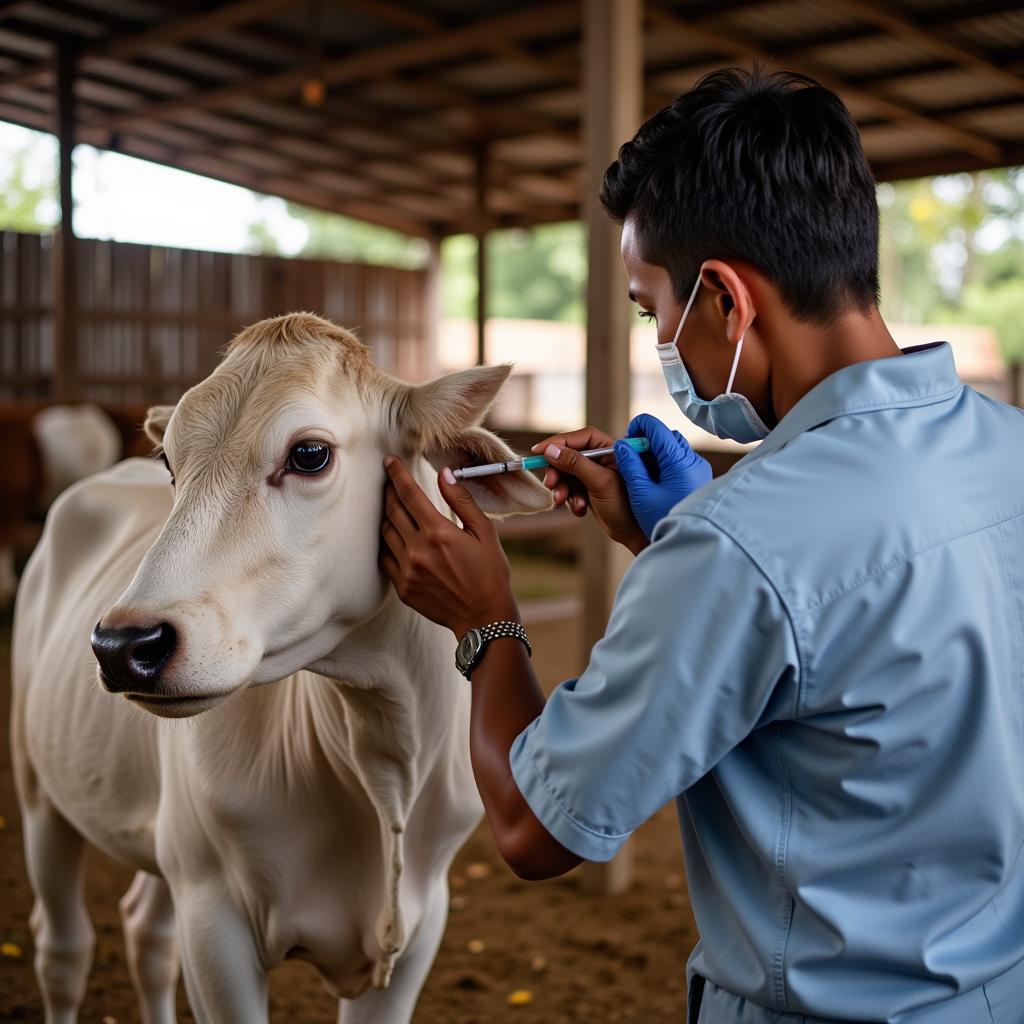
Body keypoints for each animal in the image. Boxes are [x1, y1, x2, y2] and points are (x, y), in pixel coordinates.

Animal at [9, 313, 552, 1024]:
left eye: (310, 455)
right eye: (170, 461)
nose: (123, 644)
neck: (382, 755)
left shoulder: (420, 924)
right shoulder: (214, 921)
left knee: (145, 935)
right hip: (40, 791)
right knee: (63, 951)